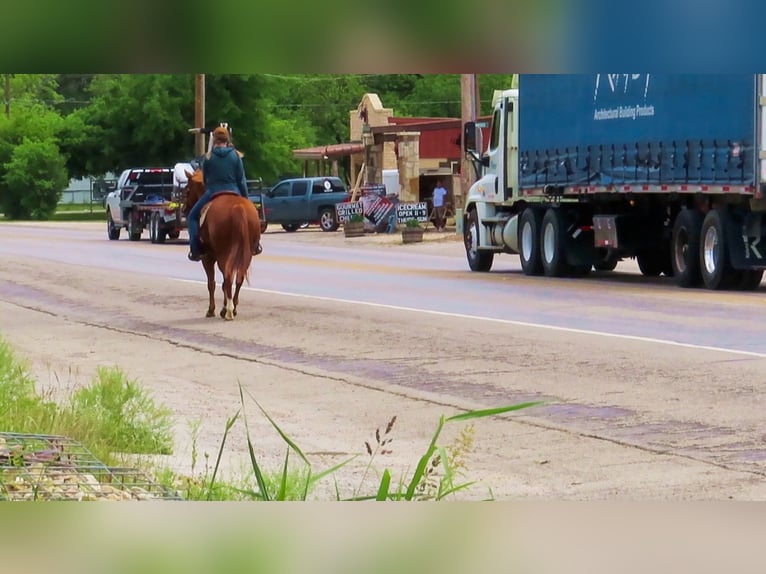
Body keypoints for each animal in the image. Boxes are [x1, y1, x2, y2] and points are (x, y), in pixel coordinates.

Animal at [184, 169, 262, 322]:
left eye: (187, 190)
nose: (184, 209)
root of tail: (238, 207)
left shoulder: (207, 258)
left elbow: (212, 283)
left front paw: (211, 310)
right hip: (247, 254)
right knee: (238, 278)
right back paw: (233, 308)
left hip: (223, 255)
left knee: (227, 278)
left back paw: (228, 311)